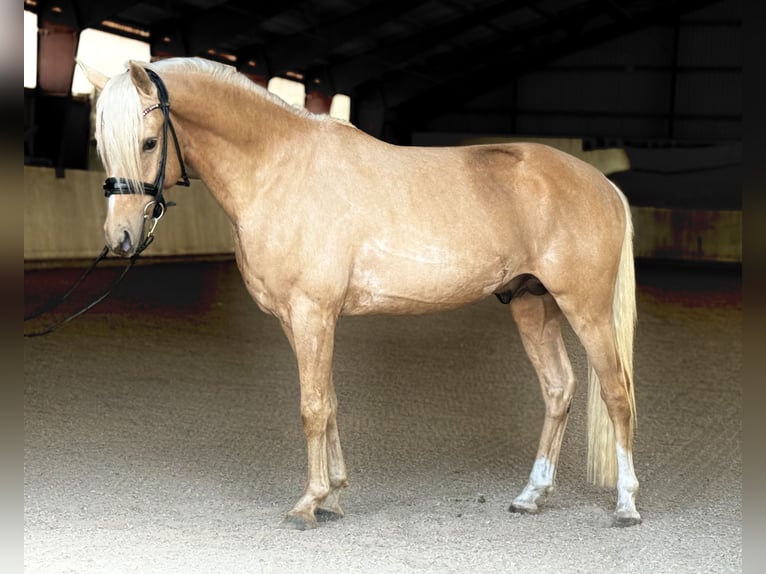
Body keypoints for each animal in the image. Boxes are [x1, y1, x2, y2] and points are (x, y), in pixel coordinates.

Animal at [79, 56, 640, 529]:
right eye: (103, 144)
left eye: (148, 142)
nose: (120, 237)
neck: (279, 168)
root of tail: (604, 185)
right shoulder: (299, 319)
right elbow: (327, 400)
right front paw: (333, 494)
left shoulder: (312, 312)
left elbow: (311, 406)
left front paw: (308, 503)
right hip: (531, 302)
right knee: (559, 388)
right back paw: (531, 496)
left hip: (585, 309)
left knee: (616, 392)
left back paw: (626, 505)